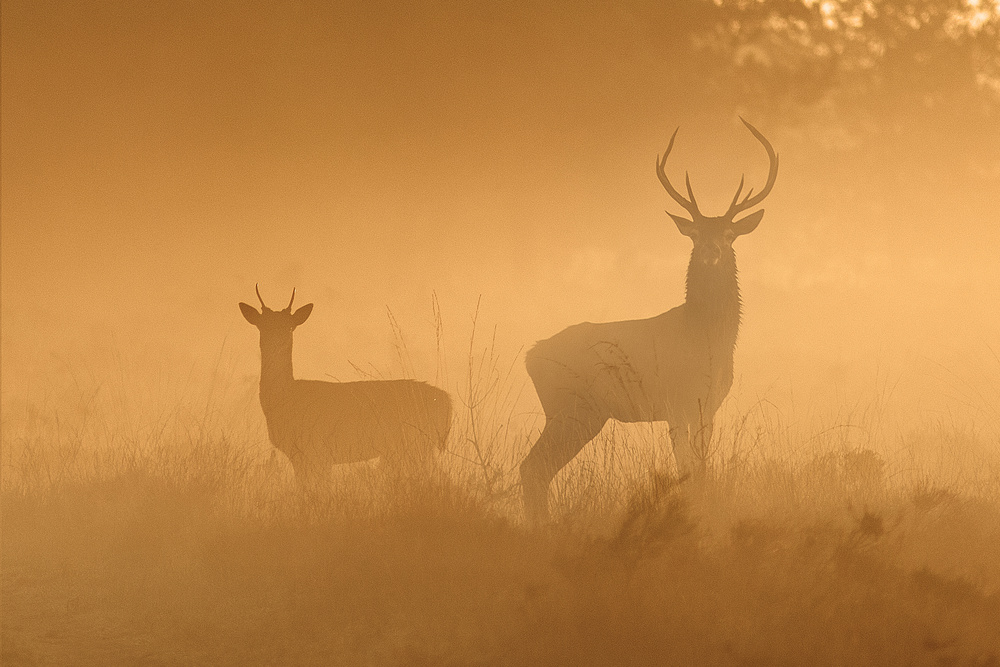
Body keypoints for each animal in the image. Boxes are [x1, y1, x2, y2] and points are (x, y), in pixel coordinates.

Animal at [240, 286, 452, 487]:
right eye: (262, 325)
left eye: (290, 326)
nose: (277, 342)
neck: (284, 398)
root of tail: (448, 402)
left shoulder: (316, 448)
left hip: (417, 443)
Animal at [519, 118, 779, 523]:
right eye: (695, 234)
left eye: (729, 233)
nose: (712, 249)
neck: (705, 337)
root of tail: (530, 356)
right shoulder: (678, 401)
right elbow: (689, 471)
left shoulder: (707, 405)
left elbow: (701, 469)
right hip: (572, 407)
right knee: (532, 467)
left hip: (577, 412)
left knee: (536, 469)